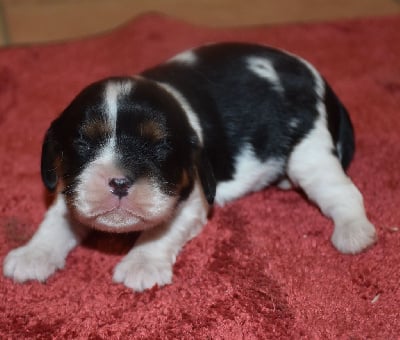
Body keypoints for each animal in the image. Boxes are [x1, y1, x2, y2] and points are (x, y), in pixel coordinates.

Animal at [3, 42, 376, 290]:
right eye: (83, 143)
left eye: (161, 146)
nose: (120, 182)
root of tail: (318, 78)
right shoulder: (71, 190)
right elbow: (57, 219)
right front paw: (33, 254)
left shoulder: (193, 198)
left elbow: (161, 230)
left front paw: (141, 264)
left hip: (309, 153)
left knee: (344, 192)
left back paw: (353, 231)